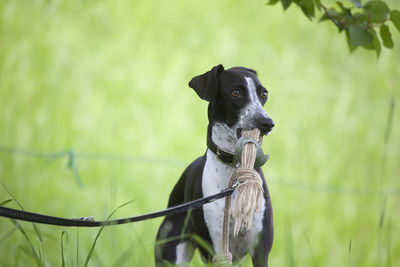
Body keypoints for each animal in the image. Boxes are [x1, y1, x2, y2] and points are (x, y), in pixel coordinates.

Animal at [155, 65, 274, 267]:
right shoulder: (217, 251)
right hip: (171, 253)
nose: (267, 123)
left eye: (264, 93)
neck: (234, 168)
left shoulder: (260, 251)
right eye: (235, 92)